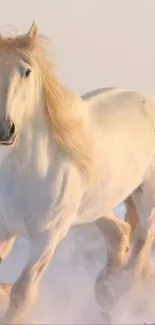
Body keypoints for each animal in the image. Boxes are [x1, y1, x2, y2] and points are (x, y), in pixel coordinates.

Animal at [0, 21, 155, 322]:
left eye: (27, 71)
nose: (5, 129)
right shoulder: (4, 229)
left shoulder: (47, 237)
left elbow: (21, 294)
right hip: (97, 205)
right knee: (119, 235)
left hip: (147, 201)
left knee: (140, 247)